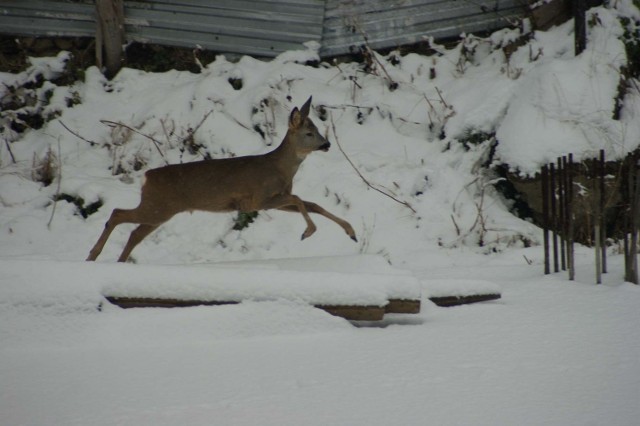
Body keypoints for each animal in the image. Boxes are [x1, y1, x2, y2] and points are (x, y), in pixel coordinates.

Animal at [85, 97, 358, 262]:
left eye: (319, 130)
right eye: (309, 133)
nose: (326, 144)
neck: (280, 169)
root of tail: (147, 177)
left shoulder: (273, 199)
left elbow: (312, 203)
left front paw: (351, 232)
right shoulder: (258, 199)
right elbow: (300, 199)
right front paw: (308, 232)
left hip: (159, 211)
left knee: (134, 232)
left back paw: (118, 261)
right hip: (157, 207)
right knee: (117, 214)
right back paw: (93, 255)